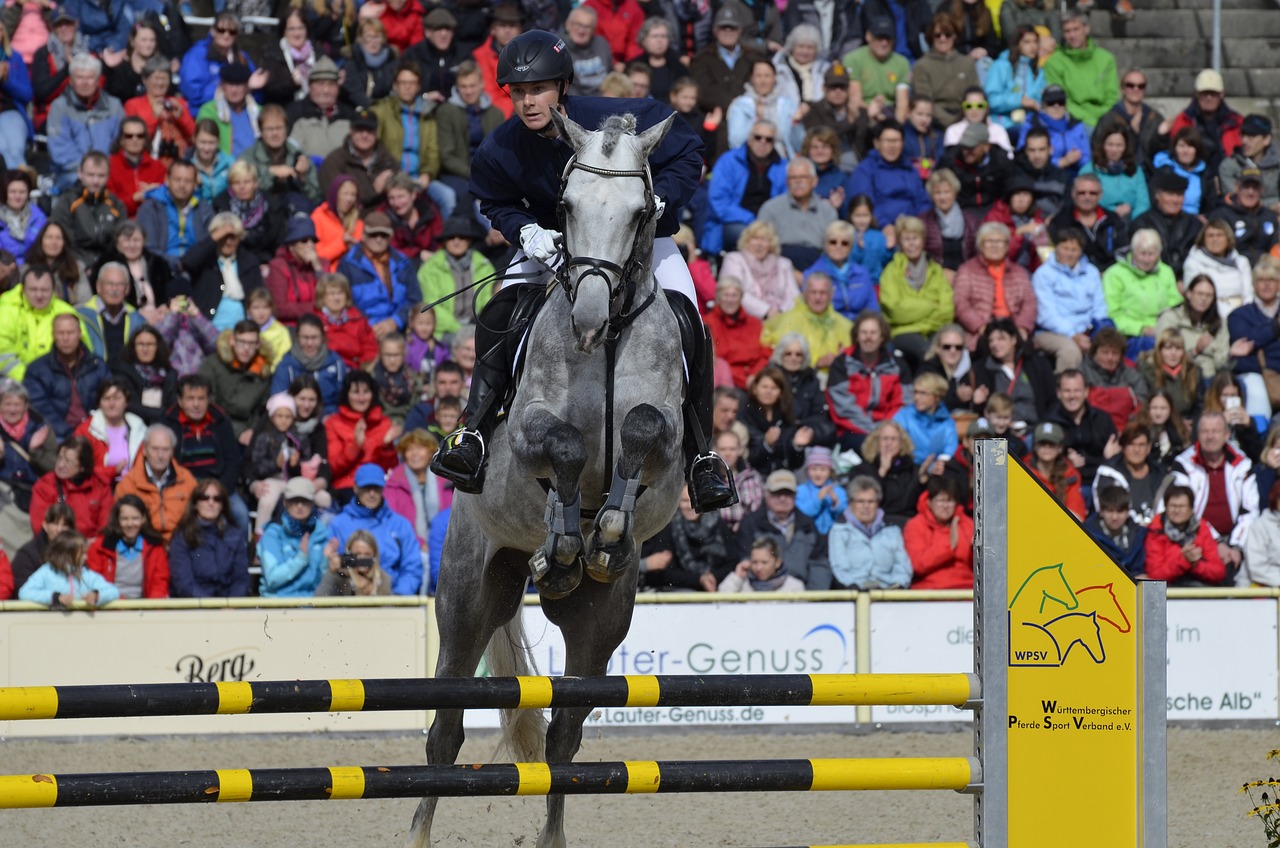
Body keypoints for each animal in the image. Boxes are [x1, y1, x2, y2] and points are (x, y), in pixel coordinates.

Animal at [407, 109, 691, 845]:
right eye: (564, 208)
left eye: (640, 210)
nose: (587, 318)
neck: (609, 338)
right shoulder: (532, 432)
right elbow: (564, 447)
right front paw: (566, 540)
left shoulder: (670, 442)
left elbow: (640, 433)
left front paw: (608, 531)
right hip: (468, 598)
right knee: (444, 731)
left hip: (600, 622)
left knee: (565, 736)